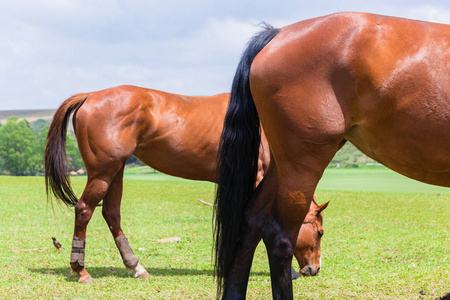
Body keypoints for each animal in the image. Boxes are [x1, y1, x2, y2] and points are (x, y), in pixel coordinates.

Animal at [44, 85, 326, 284]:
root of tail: (90, 96)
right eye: (321, 232)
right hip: (103, 172)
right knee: (84, 210)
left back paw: (135, 266)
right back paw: (80, 270)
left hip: (116, 171)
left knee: (111, 213)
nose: (314, 269)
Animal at [216, 11, 448, 300]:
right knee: (279, 236)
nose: (315, 269)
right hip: (303, 165)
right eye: (320, 232)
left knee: (251, 222)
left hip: (283, 165)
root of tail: (279, 33)